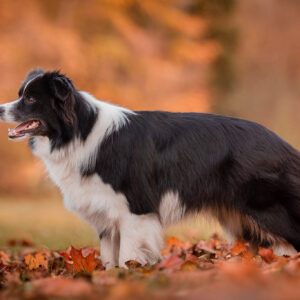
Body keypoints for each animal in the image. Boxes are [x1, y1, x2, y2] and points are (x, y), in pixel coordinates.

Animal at [0, 69, 300, 268]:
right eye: (21, 95)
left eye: (30, 99)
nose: (0, 108)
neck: (80, 132)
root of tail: (284, 145)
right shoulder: (107, 214)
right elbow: (109, 258)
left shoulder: (136, 210)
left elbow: (128, 255)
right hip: (241, 219)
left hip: (268, 209)